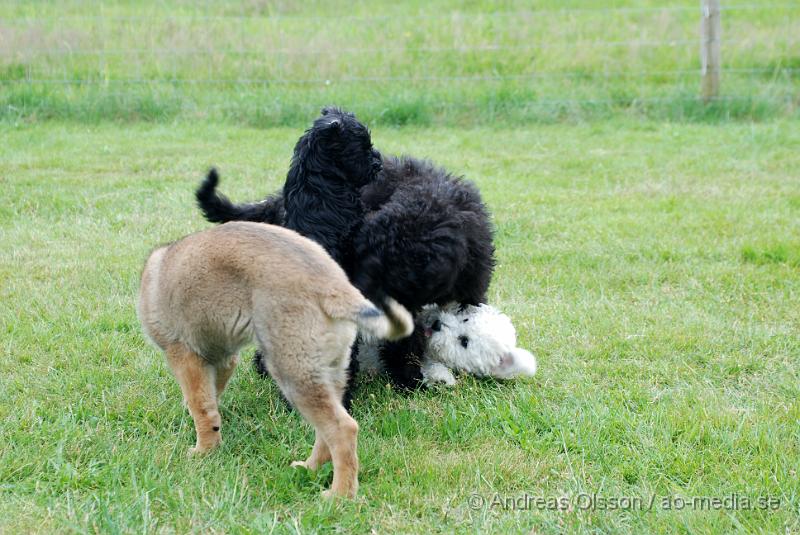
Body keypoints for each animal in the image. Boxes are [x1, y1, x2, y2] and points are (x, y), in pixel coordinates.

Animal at [138, 219, 412, 498]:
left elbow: (202, 408)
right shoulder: (223, 359)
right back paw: (311, 468)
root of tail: (335, 286)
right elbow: (212, 398)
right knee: (326, 431)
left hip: (294, 373)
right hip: (328, 373)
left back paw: (340, 495)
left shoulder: (184, 355)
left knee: (343, 429)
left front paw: (203, 451)